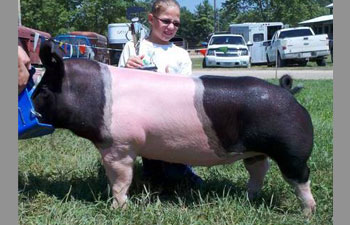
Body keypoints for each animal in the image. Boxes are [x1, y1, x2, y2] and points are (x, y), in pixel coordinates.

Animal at [32, 40, 318, 216]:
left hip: (291, 149)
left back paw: (307, 213)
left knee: (300, 177)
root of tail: (288, 92)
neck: (96, 96)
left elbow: (121, 180)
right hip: (255, 150)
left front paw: (116, 208)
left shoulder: (120, 144)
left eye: (43, 89)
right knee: (259, 169)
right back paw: (249, 198)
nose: (31, 104)